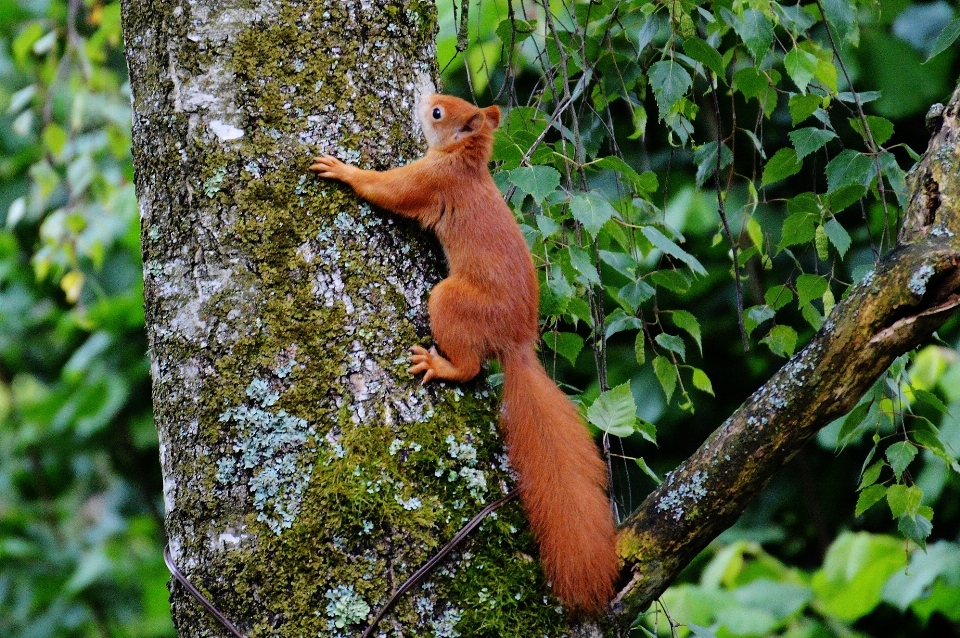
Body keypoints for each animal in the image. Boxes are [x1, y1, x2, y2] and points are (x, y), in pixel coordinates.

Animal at [312, 92, 620, 612]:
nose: (423, 97)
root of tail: (517, 345)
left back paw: (440, 365)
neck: (464, 162)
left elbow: (389, 190)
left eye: (439, 113)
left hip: (451, 302)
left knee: (472, 366)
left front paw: (343, 170)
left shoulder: (430, 181)